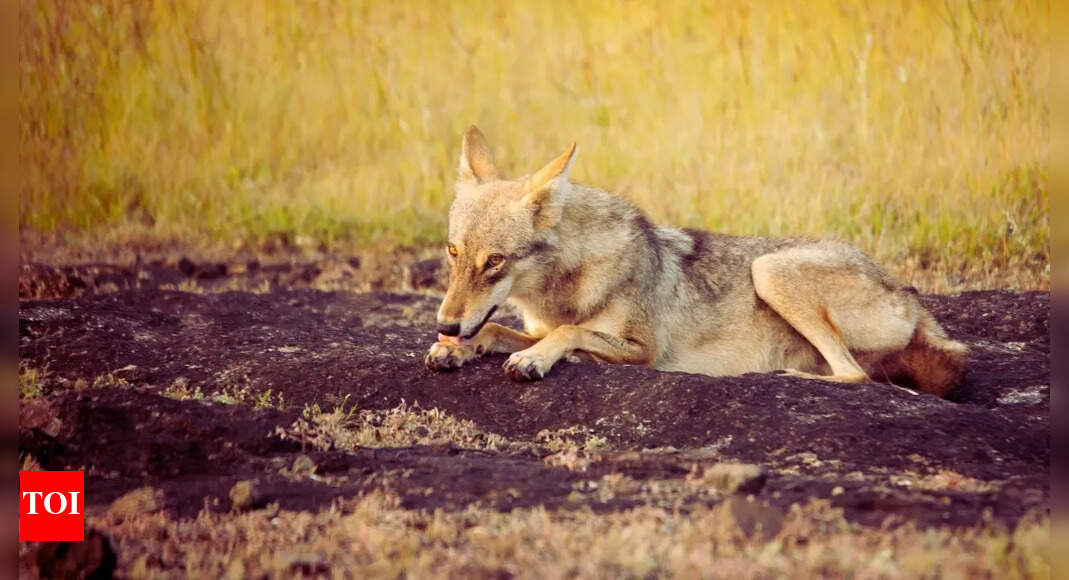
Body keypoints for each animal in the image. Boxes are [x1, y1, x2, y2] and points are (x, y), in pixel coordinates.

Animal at [424, 126, 968, 396]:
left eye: (495, 261)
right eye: (453, 253)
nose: (446, 322)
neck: (566, 284)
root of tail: (910, 297)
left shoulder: (642, 349)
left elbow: (569, 333)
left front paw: (535, 359)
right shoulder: (531, 323)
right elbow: (499, 328)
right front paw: (454, 347)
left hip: (769, 270)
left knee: (854, 375)